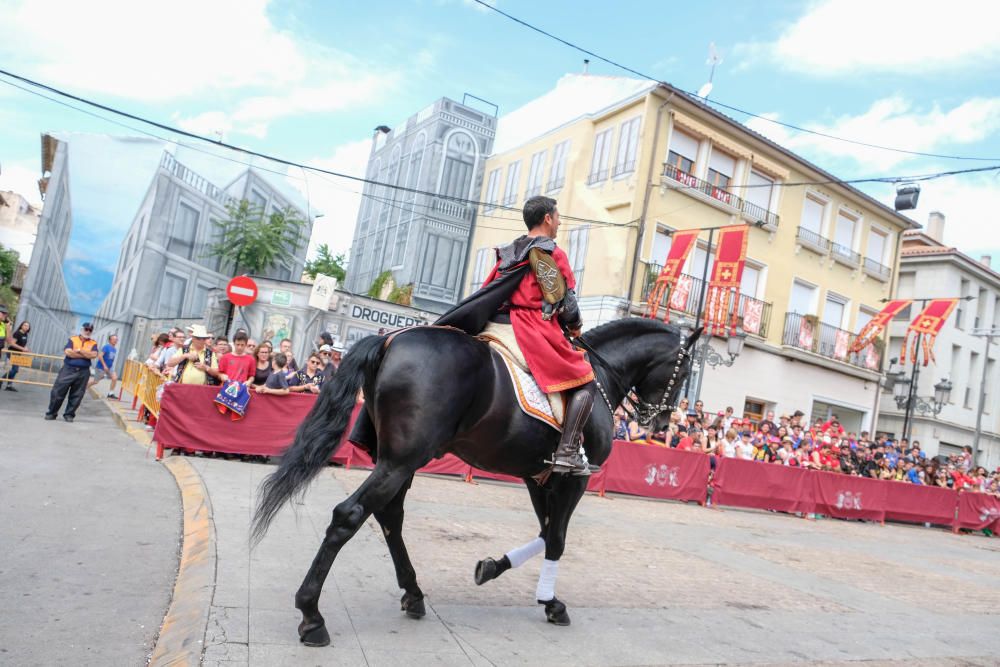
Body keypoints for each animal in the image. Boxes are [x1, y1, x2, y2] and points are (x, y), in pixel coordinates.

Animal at [254, 318, 700, 648]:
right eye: (684, 371)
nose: (661, 422)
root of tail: (390, 341)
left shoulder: (538, 476)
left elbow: (544, 533)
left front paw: (492, 567)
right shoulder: (570, 480)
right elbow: (556, 539)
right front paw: (551, 603)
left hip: (400, 461)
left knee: (389, 516)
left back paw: (413, 593)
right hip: (401, 461)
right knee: (349, 515)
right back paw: (312, 616)